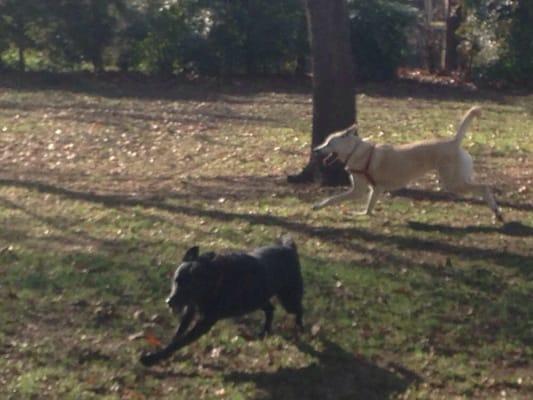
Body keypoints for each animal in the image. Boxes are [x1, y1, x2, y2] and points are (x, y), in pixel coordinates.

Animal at [139, 236, 302, 368]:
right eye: (176, 280)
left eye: (190, 287)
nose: (169, 301)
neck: (214, 278)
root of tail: (289, 248)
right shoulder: (190, 310)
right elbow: (178, 334)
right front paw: (164, 351)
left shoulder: (205, 322)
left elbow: (182, 341)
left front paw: (152, 359)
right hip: (257, 299)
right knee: (270, 308)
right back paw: (265, 331)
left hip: (288, 299)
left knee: (298, 309)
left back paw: (299, 327)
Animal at [310, 107, 500, 222]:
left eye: (329, 143)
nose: (316, 150)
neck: (356, 150)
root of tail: (454, 142)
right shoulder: (375, 189)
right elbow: (370, 206)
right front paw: (364, 214)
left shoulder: (358, 190)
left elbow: (333, 198)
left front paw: (318, 206)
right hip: (459, 179)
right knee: (481, 187)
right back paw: (496, 212)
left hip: (453, 183)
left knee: (484, 187)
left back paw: (497, 212)